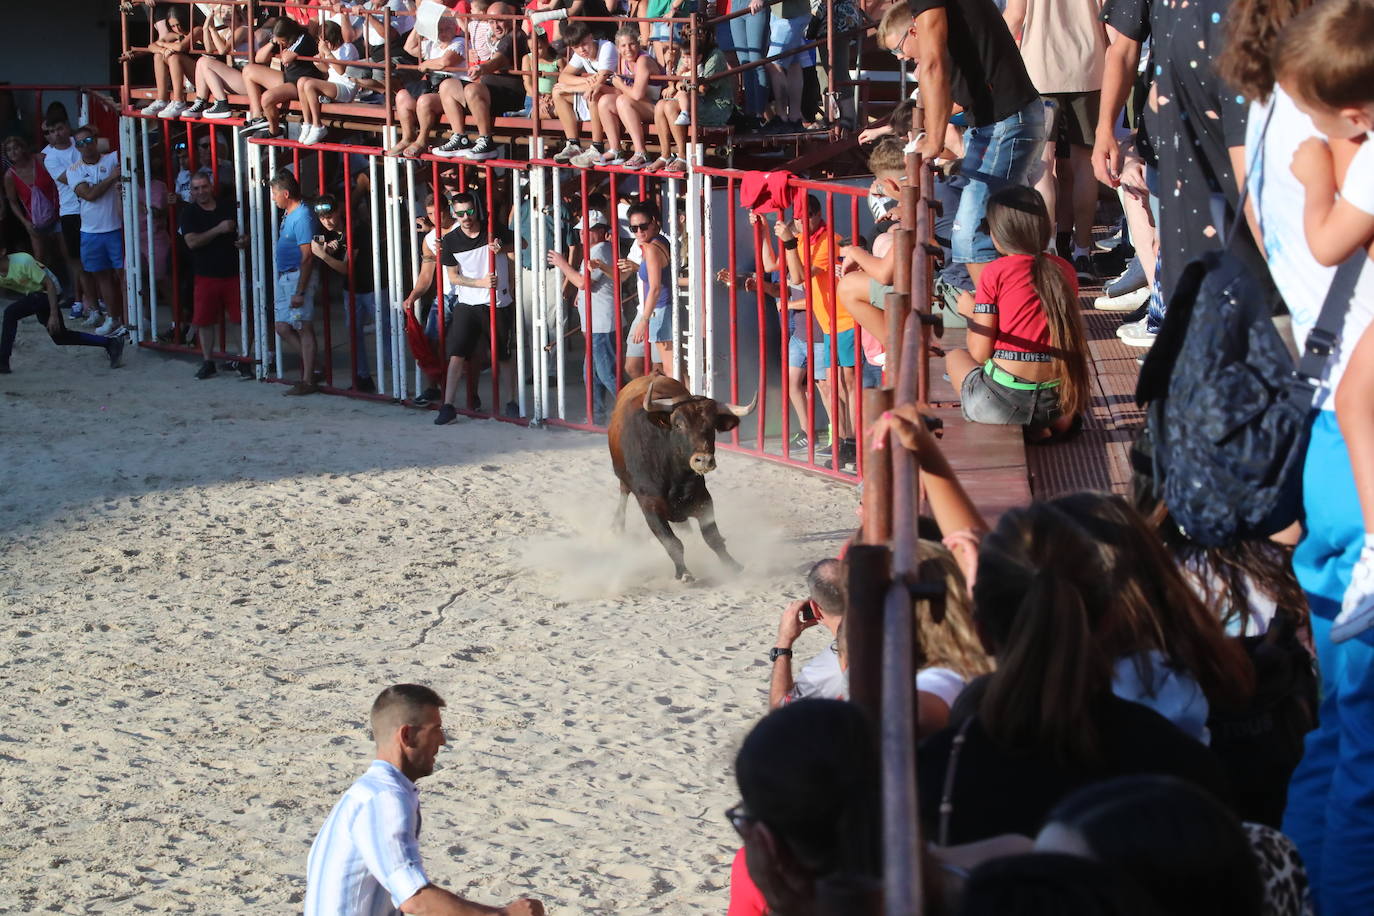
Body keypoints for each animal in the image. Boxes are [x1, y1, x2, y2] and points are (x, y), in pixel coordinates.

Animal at [607, 376, 758, 585]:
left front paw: (732, 565)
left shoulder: (703, 500)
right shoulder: (650, 506)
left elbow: (713, 538)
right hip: (622, 478)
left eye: (712, 426)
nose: (703, 460)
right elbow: (672, 543)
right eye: (679, 425)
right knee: (623, 494)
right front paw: (684, 572)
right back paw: (617, 528)